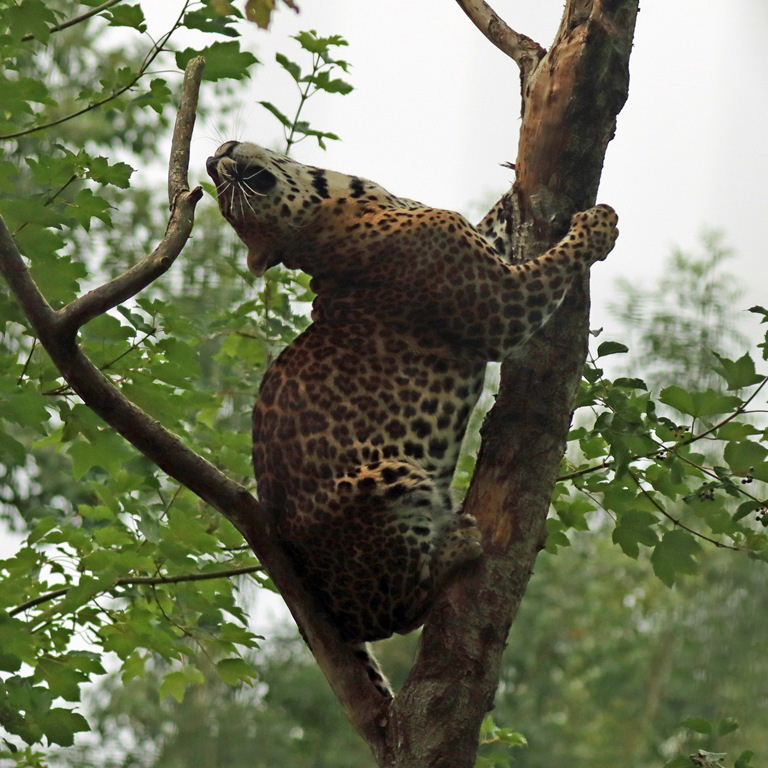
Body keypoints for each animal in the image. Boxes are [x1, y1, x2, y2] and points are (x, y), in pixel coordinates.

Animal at [206, 141, 618, 683]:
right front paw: (597, 225)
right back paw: (455, 548)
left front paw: (511, 190)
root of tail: (328, 608)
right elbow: (554, 265)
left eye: (226, 209)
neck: (345, 201)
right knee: (397, 614)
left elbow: (494, 225)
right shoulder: (502, 307)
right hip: (390, 477)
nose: (212, 164)